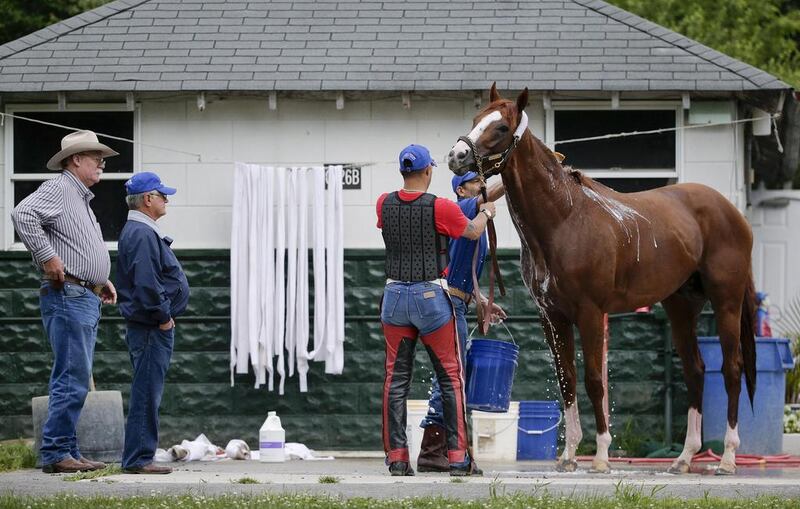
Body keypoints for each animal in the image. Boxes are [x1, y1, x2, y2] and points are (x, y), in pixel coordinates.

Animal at [450, 85, 756, 474]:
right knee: (695, 371)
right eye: (476, 119)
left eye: (501, 127)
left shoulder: (591, 313)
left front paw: (600, 456)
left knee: (732, 369)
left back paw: (728, 458)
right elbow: (567, 379)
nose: (456, 156)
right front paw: (568, 456)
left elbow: (595, 381)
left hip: (727, 301)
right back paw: (684, 458)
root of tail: (731, 212)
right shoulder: (552, 317)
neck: (564, 220)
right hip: (681, 306)